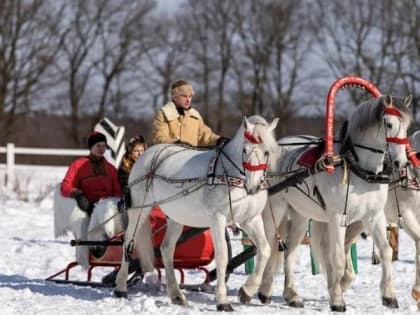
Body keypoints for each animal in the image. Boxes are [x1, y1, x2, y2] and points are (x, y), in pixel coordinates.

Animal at [114, 115, 278, 312]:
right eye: (244, 150)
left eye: (266, 152)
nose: (253, 187)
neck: (233, 176)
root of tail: (147, 154)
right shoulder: (217, 219)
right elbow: (222, 257)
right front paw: (222, 300)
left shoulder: (251, 219)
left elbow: (265, 249)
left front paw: (247, 291)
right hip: (139, 209)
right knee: (127, 243)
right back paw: (120, 287)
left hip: (175, 217)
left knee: (166, 249)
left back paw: (176, 295)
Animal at [258, 95, 412, 312]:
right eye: (389, 124)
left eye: (407, 126)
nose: (401, 163)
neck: (357, 169)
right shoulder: (338, 217)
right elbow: (337, 258)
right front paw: (337, 299)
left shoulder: (373, 216)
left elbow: (386, 251)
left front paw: (388, 296)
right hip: (276, 210)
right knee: (269, 244)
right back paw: (260, 290)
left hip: (300, 215)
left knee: (290, 251)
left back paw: (292, 295)